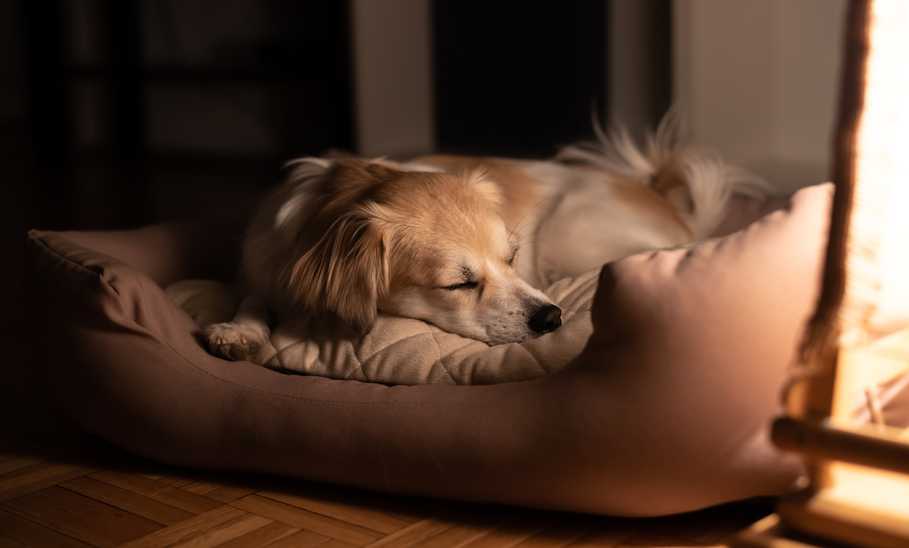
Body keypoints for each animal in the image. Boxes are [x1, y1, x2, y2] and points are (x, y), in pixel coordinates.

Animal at [204, 114, 768, 362]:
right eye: (458, 284)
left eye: (513, 258)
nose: (552, 318)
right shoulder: (263, 267)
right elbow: (251, 298)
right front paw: (239, 331)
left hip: (570, 228)